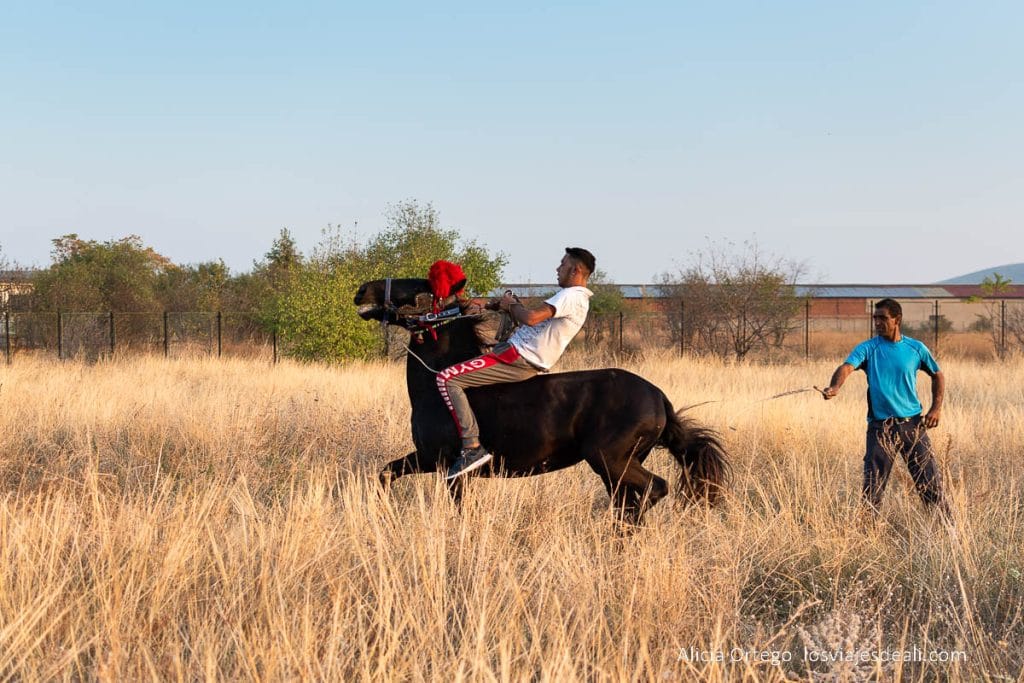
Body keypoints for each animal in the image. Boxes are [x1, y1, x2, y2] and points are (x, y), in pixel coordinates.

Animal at [354, 276, 729, 524]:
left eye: (417, 286)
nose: (363, 289)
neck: (435, 385)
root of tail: (659, 397)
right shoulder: (428, 460)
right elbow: (384, 474)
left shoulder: (444, 464)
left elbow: (452, 506)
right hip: (617, 467)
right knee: (627, 501)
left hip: (610, 460)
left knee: (654, 489)